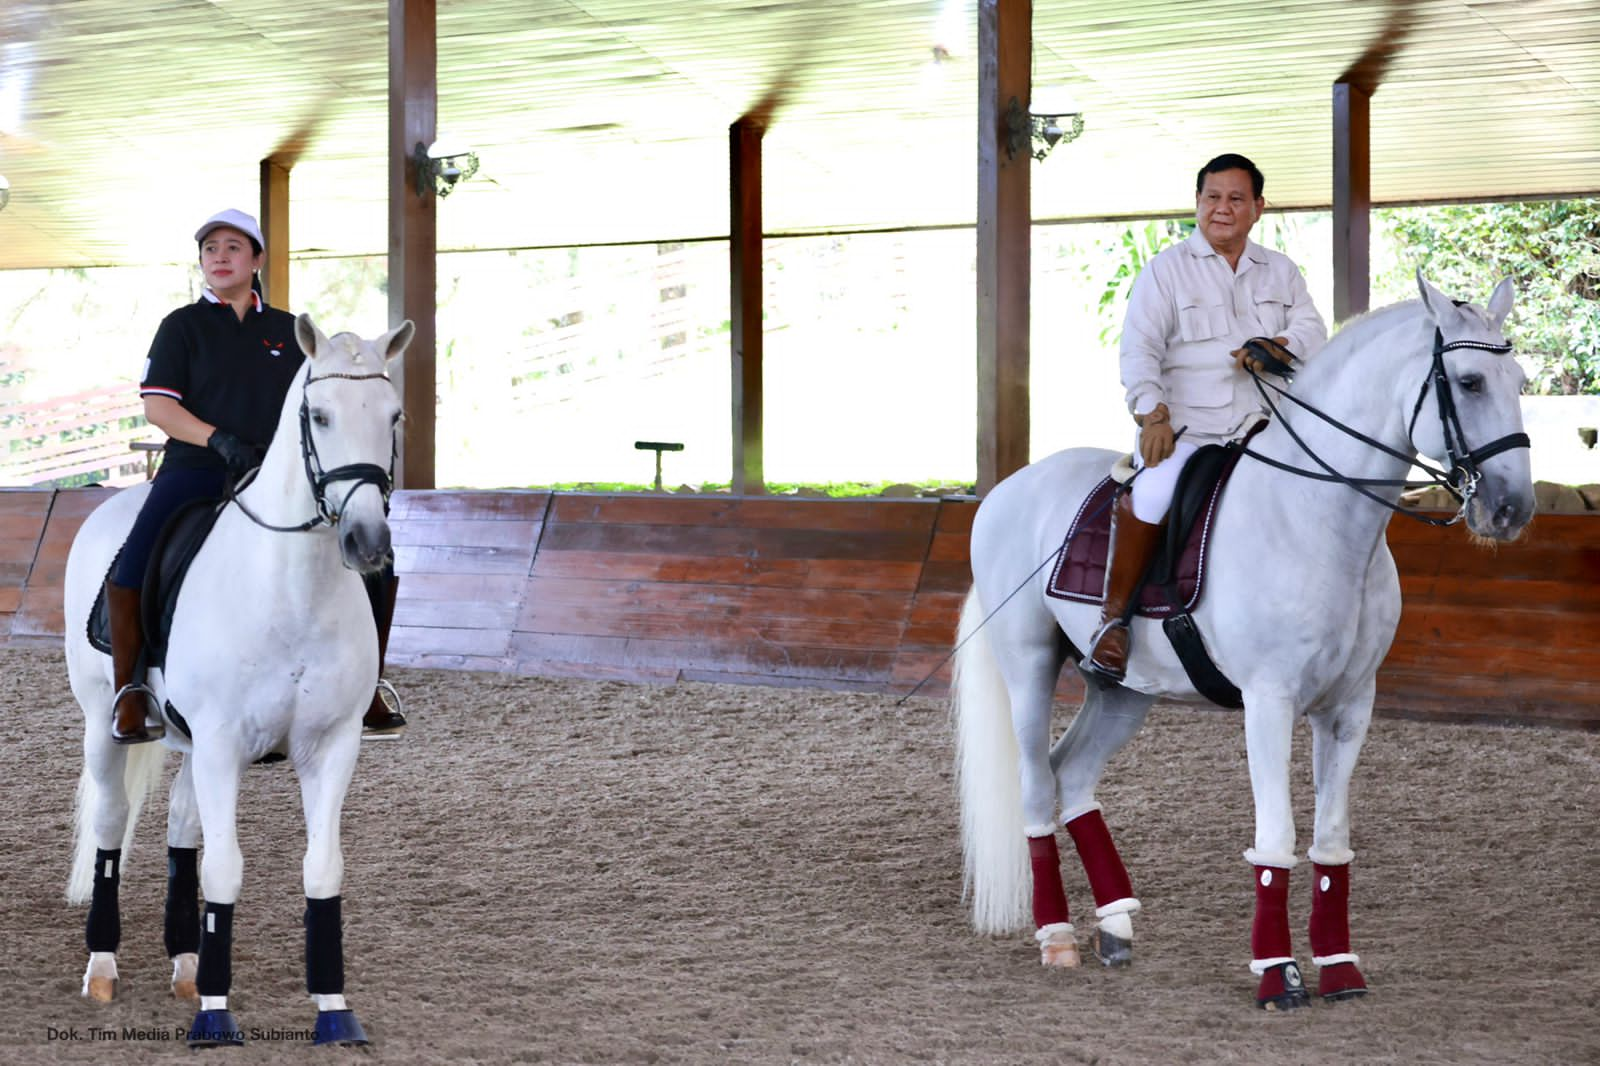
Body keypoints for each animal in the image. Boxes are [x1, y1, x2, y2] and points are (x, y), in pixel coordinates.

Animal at [62, 312, 412, 1043]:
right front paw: (216, 1015)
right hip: (105, 726)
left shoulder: (330, 746)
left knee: (180, 828)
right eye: (319, 415)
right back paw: (102, 966)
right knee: (111, 825)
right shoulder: (223, 744)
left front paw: (334, 1010)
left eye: (393, 414)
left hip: (195, 746)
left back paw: (186, 963)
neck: (293, 590)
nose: (368, 543)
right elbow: (226, 871)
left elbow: (321, 869)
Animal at [953, 272, 1529, 1005]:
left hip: (1123, 690)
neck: (1316, 519)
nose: (1512, 509)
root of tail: (1004, 493)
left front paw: (1339, 969)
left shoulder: (1350, 708)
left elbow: (1331, 841)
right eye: (1469, 381)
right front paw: (1277, 973)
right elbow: (1276, 837)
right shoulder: (1269, 701)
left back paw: (1115, 925)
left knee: (1073, 775)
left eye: (1519, 379)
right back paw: (1056, 937)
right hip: (1027, 669)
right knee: (1034, 786)